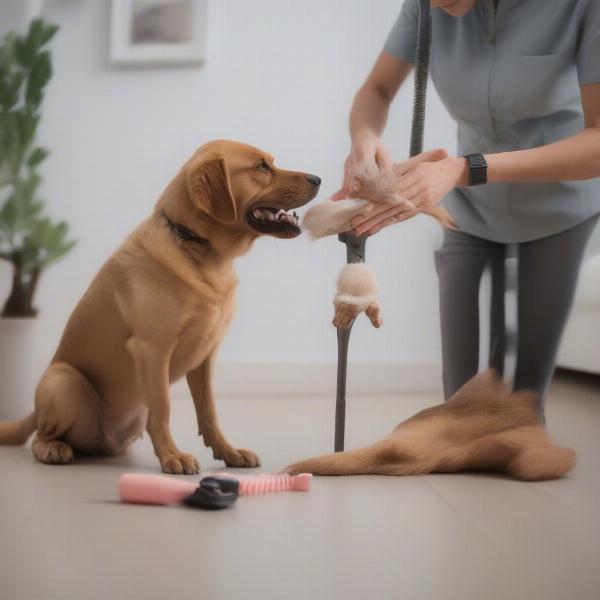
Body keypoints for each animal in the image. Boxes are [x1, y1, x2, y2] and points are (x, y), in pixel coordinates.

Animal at [0, 139, 318, 474]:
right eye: (261, 166)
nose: (318, 179)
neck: (198, 249)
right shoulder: (152, 348)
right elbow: (163, 408)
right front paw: (172, 456)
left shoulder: (207, 355)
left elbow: (209, 411)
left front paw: (228, 452)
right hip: (64, 381)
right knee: (40, 435)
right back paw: (53, 448)